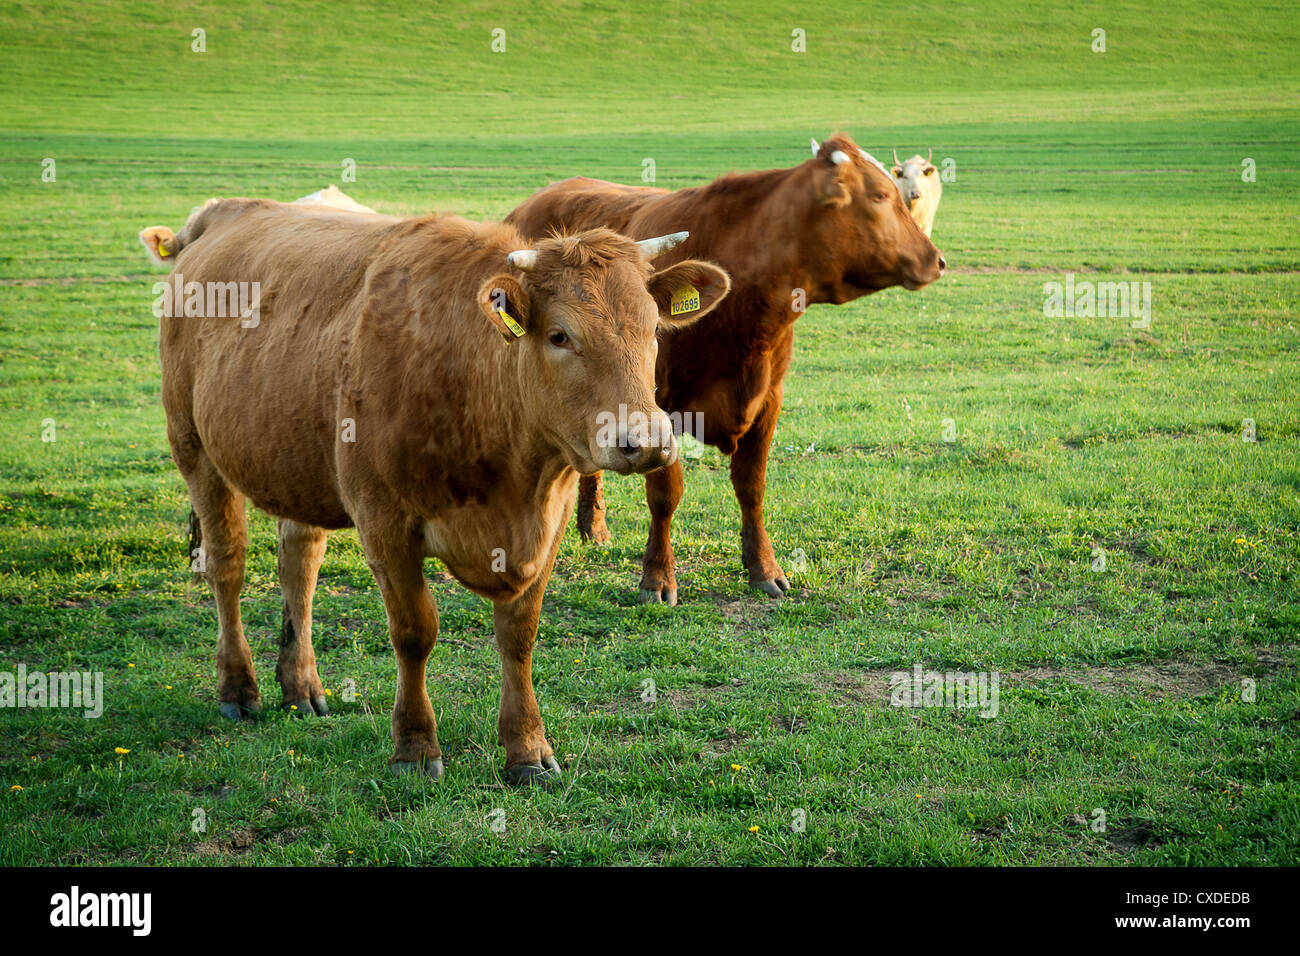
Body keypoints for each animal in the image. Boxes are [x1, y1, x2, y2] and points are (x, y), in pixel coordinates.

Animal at [138, 198, 730, 784]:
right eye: (560, 335)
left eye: (653, 328)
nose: (646, 442)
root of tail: (222, 213)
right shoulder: (385, 525)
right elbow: (413, 632)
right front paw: (415, 749)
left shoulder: (551, 522)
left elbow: (519, 634)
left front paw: (527, 749)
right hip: (193, 447)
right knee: (227, 564)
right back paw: (239, 687)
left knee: (298, 565)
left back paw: (301, 685)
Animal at [506, 133, 944, 605]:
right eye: (881, 195)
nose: (936, 260)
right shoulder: (658, 410)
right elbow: (665, 494)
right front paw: (657, 577)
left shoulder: (769, 399)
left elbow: (751, 486)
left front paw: (764, 567)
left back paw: (594, 527)